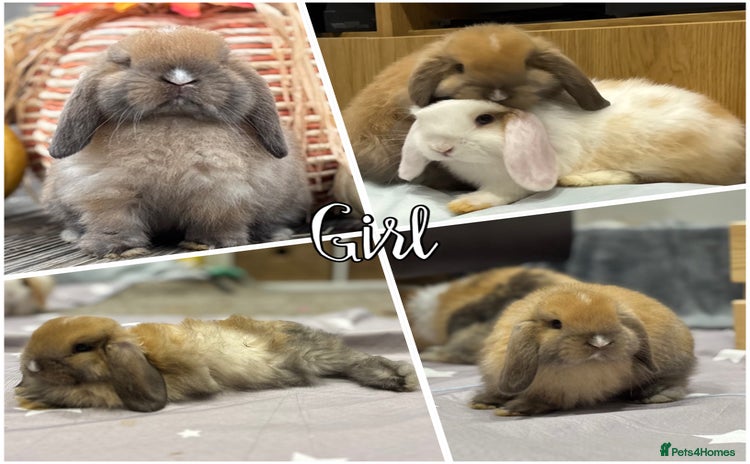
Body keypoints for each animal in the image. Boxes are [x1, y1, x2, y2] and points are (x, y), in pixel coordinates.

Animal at [41, 26, 312, 258]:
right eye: (126, 62)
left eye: (222, 62)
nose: (180, 79)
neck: (173, 120)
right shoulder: (110, 192)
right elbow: (114, 221)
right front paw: (116, 250)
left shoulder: (221, 193)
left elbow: (216, 220)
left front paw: (209, 243)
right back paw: (72, 235)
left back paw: (277, 233)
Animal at [399, 78, 746, 215]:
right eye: (427, 116)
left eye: (484, 119)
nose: (441, 147)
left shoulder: (510, 181)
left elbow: (499, 194)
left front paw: (463, 204)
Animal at [471, 282, 696, 416]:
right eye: (556, 323)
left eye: (615, 317)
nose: (600, 342)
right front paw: (484, 402)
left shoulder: (565, 393)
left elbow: (546, 401)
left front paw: (515, 409)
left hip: (669, 369)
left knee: (675, 383)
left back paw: (652, 396)